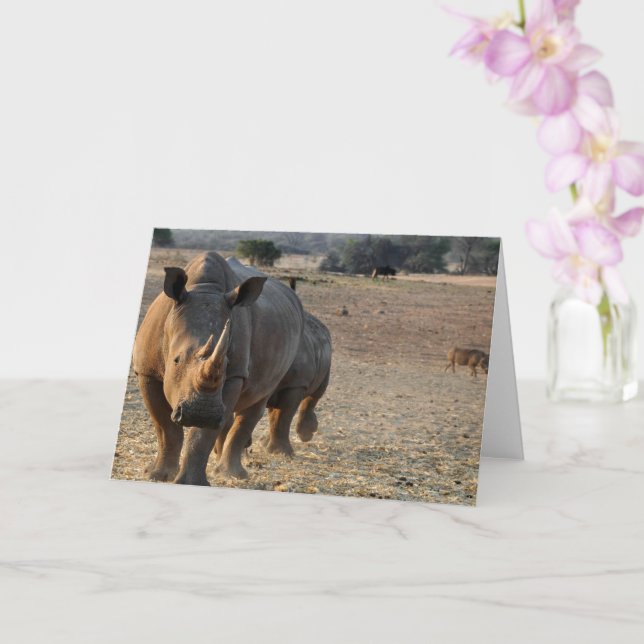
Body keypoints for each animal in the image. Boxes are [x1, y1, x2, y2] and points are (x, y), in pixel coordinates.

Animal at [132, 251, 304, 485]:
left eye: (226, 364)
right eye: (176, 360)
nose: (201, 413)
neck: (204, 288)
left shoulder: (234, 375)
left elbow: (201, 435)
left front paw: (191, 483)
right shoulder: (146, 371)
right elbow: (166, 428)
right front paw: (157, 475)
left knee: (256, 403)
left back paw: (233, 474)